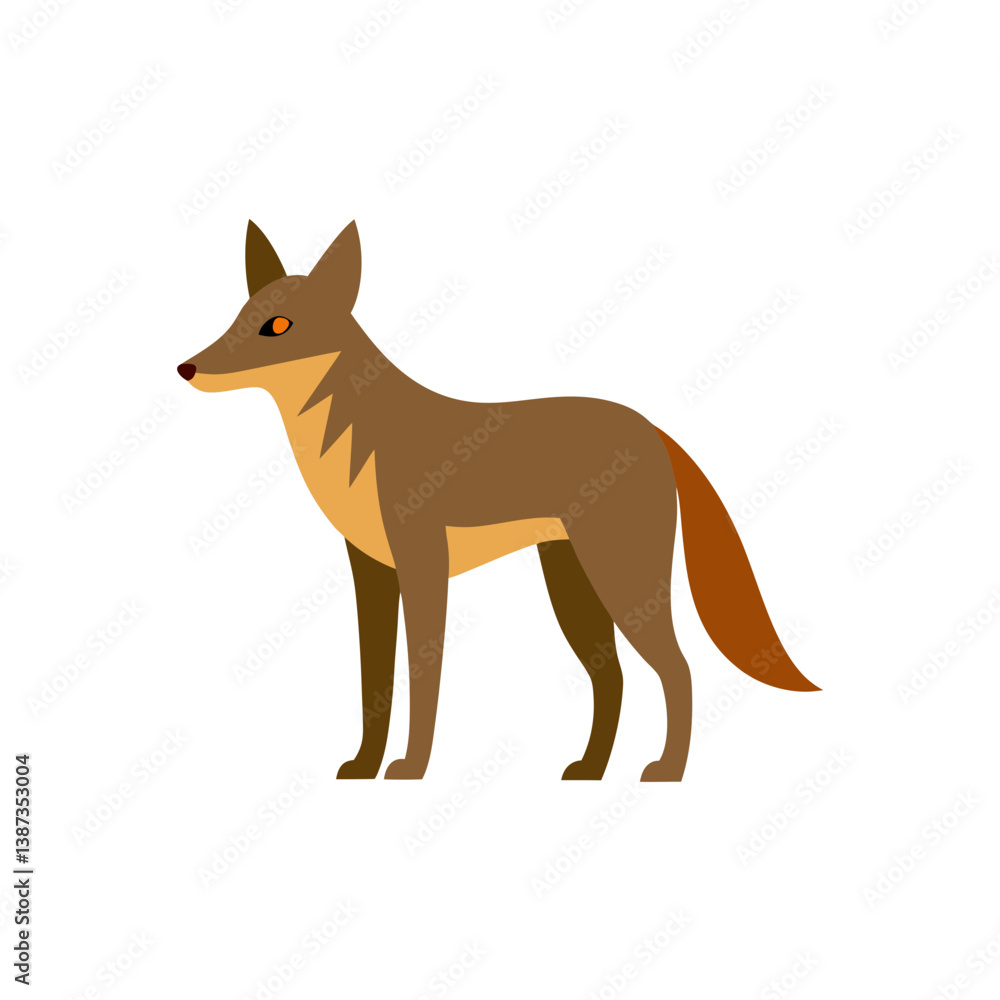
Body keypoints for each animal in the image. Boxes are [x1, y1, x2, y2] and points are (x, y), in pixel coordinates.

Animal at [178, 220, 819, 781]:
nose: (187, 368)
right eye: (237, 318)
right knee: (611, 679)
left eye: (278, 326)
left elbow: (424, 678)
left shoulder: (423, 566)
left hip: (621, 579)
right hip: (572, 584)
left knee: (678, 670)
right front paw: (363, 767)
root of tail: (651, 429)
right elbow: (373, 682)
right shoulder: (371, 571)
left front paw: (410, 769)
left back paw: (666, 772)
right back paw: (590, 770)